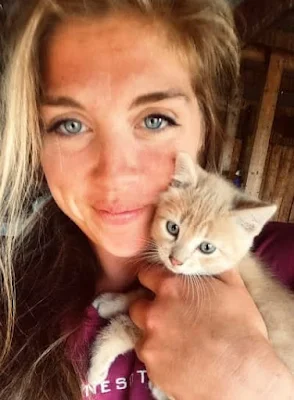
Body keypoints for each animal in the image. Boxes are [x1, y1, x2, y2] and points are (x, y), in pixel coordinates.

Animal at [87, 153, 294, 400]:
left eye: (206, 247)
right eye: (172, 228)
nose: (175, 260)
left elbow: (125, 326)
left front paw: (97, 364)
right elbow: (138, 294)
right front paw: (112, 301)